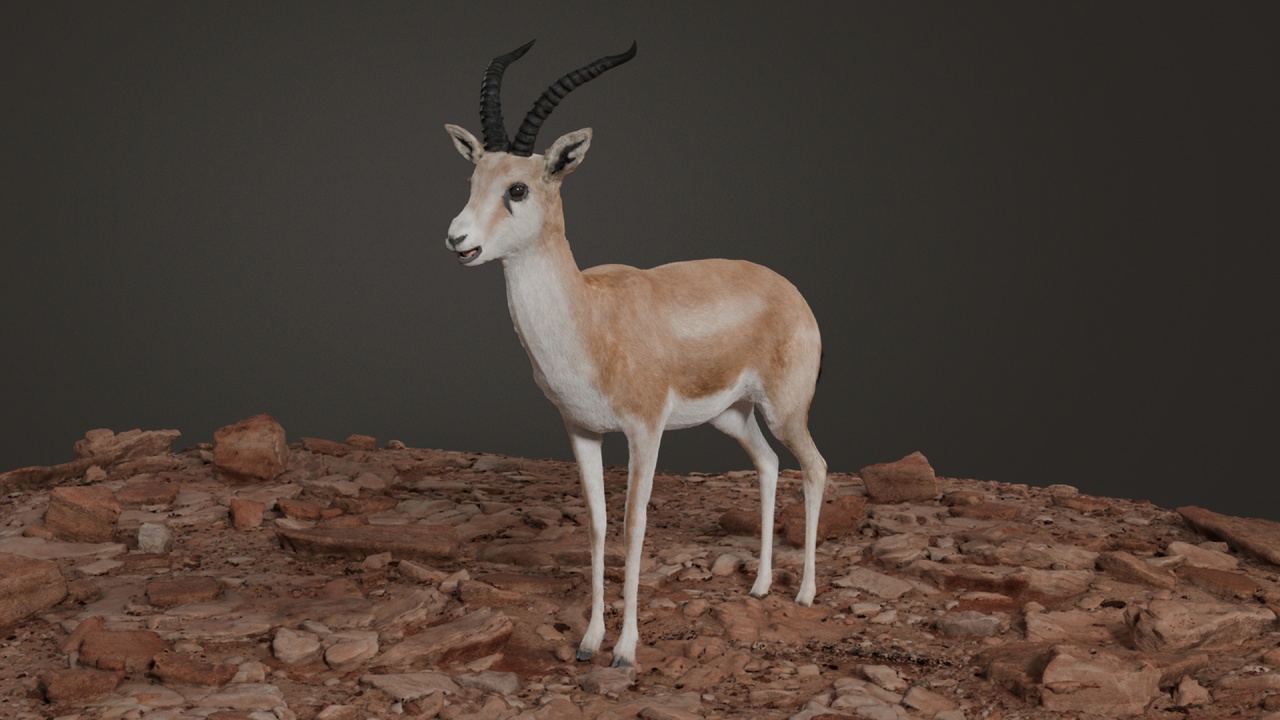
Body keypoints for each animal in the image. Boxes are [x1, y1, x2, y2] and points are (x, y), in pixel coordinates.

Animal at [443, 40, 827, 668]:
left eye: (518, 189)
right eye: (474, 176)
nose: (458, 240)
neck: (590, 317)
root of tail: (789, 289)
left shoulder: (644, 430)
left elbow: (633, 525)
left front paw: (624, 650)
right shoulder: (581, 430)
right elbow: (598, 526)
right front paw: (589, 640)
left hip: (785, 409)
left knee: (814, 467)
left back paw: (805, 593)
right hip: (732, 415)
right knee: (769, 464)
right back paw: (761, 584)